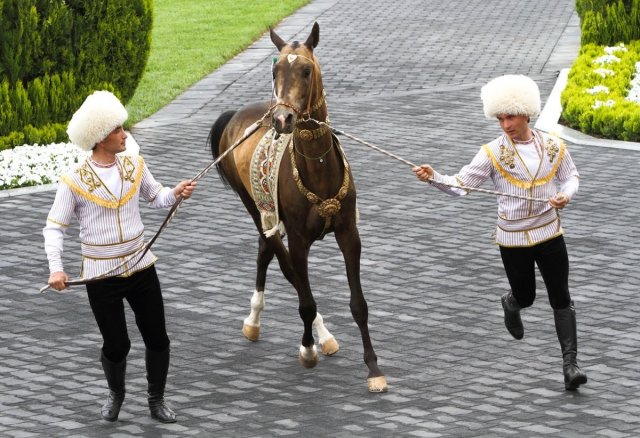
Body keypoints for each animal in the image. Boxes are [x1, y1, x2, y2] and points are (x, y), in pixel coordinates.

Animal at [208, 22, 388, 394]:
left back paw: (257, 321)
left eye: (306, 70)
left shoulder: (349, 234)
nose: (282, 118)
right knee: (283, 263)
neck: (318, 170)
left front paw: (374, 369)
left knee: (265, 250)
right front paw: (307, 349)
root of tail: (237, 116)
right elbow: (304, 298)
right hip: (256, 208)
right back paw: (311, 334)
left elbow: (359, 304)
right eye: (275, 70)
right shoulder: (298, 239)